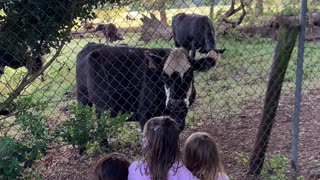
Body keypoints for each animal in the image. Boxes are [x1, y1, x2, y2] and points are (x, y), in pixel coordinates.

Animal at [75, 42, 218, 132]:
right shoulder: (144, 115)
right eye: (164, 76)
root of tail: (90, 46)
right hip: (82, 97)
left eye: (189, 74)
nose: (176, 103)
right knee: (82, 119)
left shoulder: (180, 116)